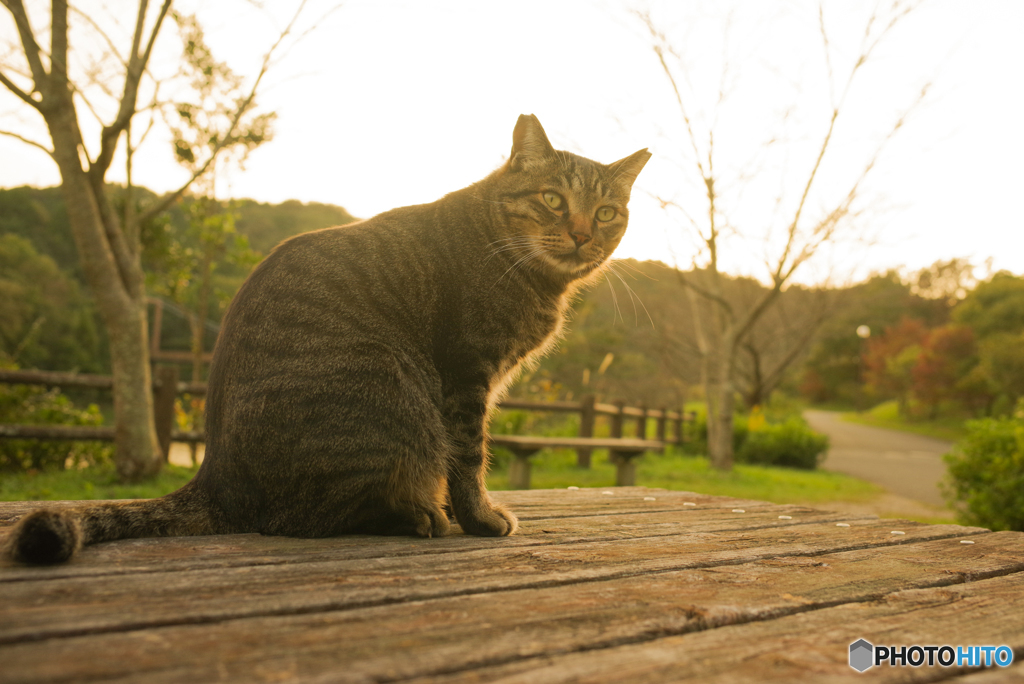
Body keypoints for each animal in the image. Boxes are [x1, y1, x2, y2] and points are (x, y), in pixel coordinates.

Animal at [6, 114, 647, 565]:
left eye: (607, 211)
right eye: (553, 199)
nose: (583, 234)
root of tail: (214, 479)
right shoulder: (467, 376)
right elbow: (469, 459)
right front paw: (480, 519)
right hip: (393, 389)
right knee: (306, 518)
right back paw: (416, 517)